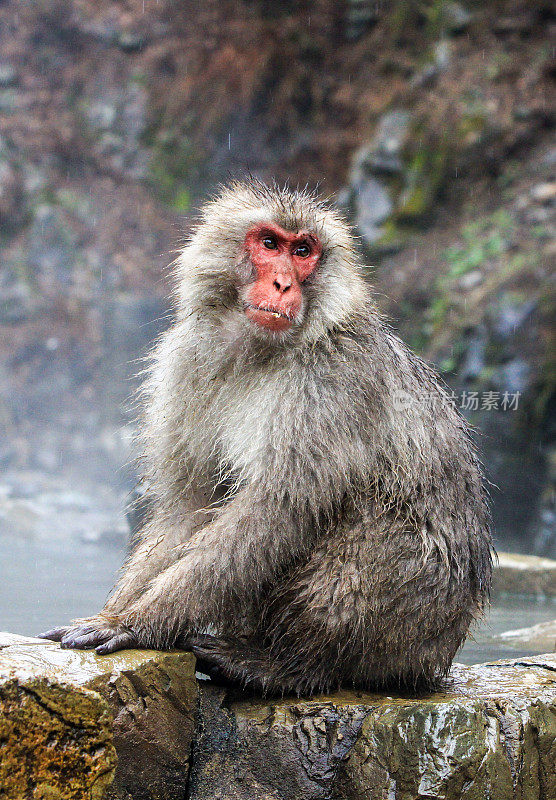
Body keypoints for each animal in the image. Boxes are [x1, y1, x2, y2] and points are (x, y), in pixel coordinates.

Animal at [41, 181, 494, 692]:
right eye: (270, 244)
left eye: (303, 251)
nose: (283, 284)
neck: (257, 350)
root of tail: (440, 652)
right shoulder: (185, 360)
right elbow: (190, 505)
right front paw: (113, 613)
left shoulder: (330, 381)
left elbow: (276, 511)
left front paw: (136, 624)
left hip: (416, 619)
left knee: (372, 523)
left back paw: (289, 666)